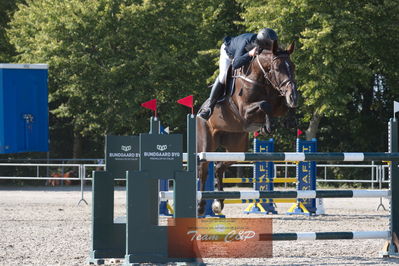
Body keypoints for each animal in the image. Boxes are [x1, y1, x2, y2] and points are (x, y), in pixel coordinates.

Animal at [197, 41, 300, 216]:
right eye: (277, 67)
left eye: (292, 66)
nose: (293, 96)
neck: (260, 79)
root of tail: (197, 112)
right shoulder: (245, 111)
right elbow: (264, 105)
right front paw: (267, 126)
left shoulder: (278, 105)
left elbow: (279, 107)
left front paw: (287, 118)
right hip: (207, 144)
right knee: (204, 171)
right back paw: (201, 206)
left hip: (236, 148)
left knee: (219, 167)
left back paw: (218, 203)